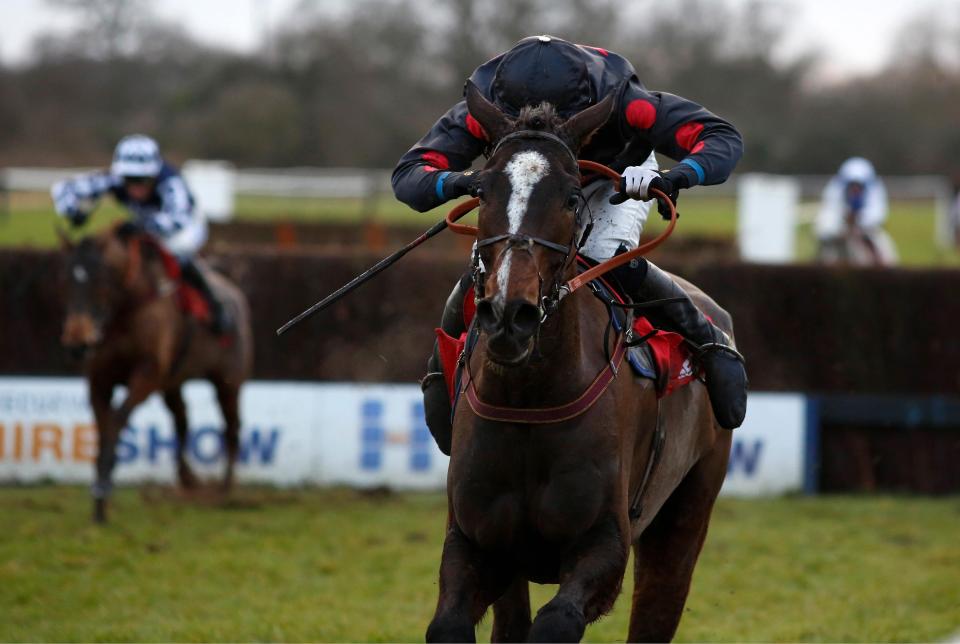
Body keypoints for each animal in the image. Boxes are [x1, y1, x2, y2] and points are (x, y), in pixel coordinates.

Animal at [60, 223, 253, 524]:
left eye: (101, 280)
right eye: (67, 279)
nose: (77, 343)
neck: (126, 311)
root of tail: (235, 292)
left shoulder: (148, 374)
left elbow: (117, 419)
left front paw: (103, 491)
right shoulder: (99, 380)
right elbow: (104, 426)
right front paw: (100, 497)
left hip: (228, 382)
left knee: (232, 427)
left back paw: (224, 489)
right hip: (172, 384)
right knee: (182, 421)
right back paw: (188, 479)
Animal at [428, 83, 736, 640]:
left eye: (571, 196)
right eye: (481, 192)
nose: (509, 315)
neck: (529, 400)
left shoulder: (605, 544)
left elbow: (557, 621)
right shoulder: (475, 541)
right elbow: (451, 624)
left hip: (686, 515)